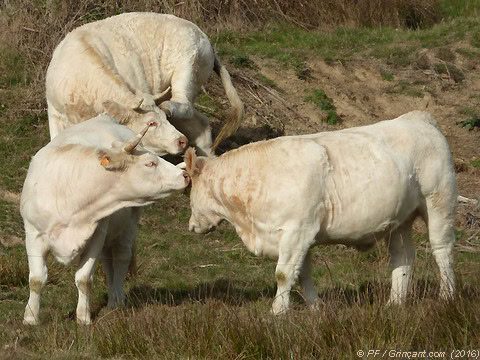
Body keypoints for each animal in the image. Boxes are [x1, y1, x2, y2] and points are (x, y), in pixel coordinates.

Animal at [20, 114, 189, 324]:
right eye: (150, 163)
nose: (185, 175)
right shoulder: (33, 234)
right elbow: (36, 279)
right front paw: (31, 317)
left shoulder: (96, 236)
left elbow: (84, 279)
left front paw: (83, 317)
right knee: (109, 264)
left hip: (127, 226)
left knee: (120, 260)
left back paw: (117, 301)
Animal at [185, 110, 458, 316]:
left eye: (190, 186)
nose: (191, 226)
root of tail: (417, 118)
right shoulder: (300, 237)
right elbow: (301, 273)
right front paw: (316, 307)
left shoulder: (297, 230)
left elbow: (283, 274)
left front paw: (277, 312)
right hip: (400, 219)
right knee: (403, 257)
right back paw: (395, 302)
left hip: (439, 202)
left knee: (442, 249)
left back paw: (447, 296)